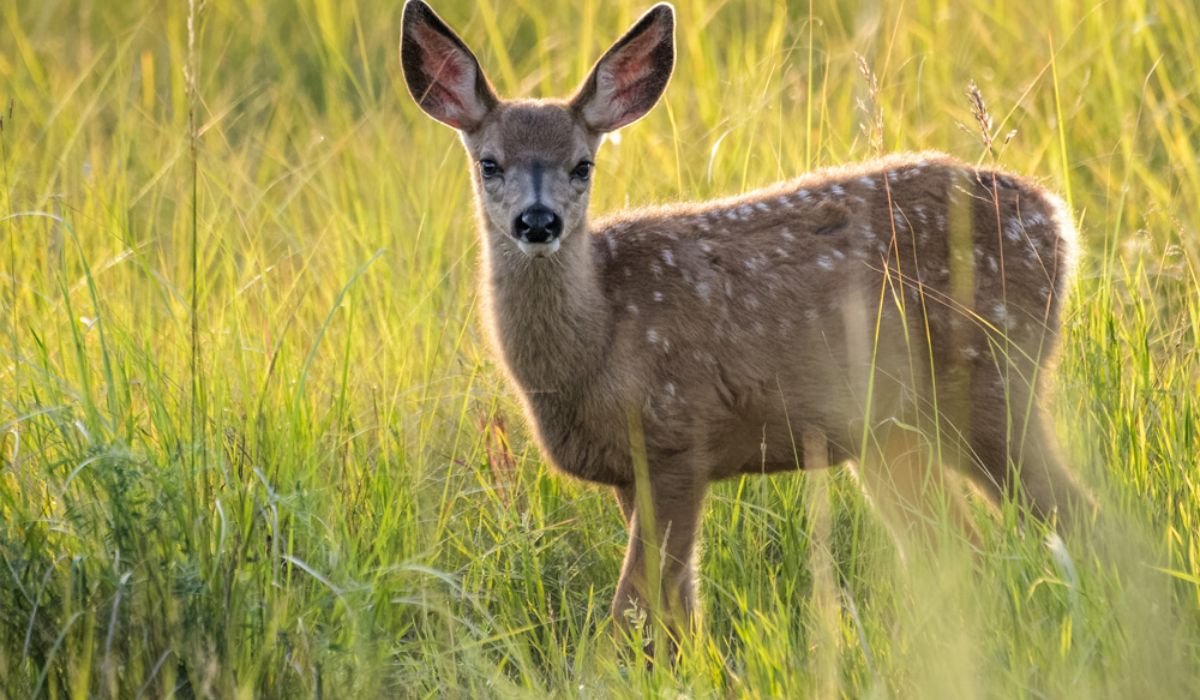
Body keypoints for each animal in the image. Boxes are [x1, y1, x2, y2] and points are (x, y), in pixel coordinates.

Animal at [400, 0, 1093, 653]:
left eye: (582, 165)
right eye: (489, 163)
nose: (538, 221)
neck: (598, 339)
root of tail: (1056, 219)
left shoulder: (677, 437)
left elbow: (635, 610)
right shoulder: (631, 470)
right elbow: (676, 613)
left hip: (992, 376)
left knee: (1076, 515)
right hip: (890, 432)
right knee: (954, 549)